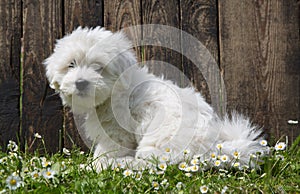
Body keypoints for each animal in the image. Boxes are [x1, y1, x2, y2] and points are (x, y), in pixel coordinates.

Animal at [44, 26, 268, 170]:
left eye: (99, 68)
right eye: (71, 64)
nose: (81, 82)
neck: (115, 90)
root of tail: (213, 148)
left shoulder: (116, 132)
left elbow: (107, 149)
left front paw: (95, 164)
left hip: (160, 139)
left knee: (156, 163)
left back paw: (122, 164)